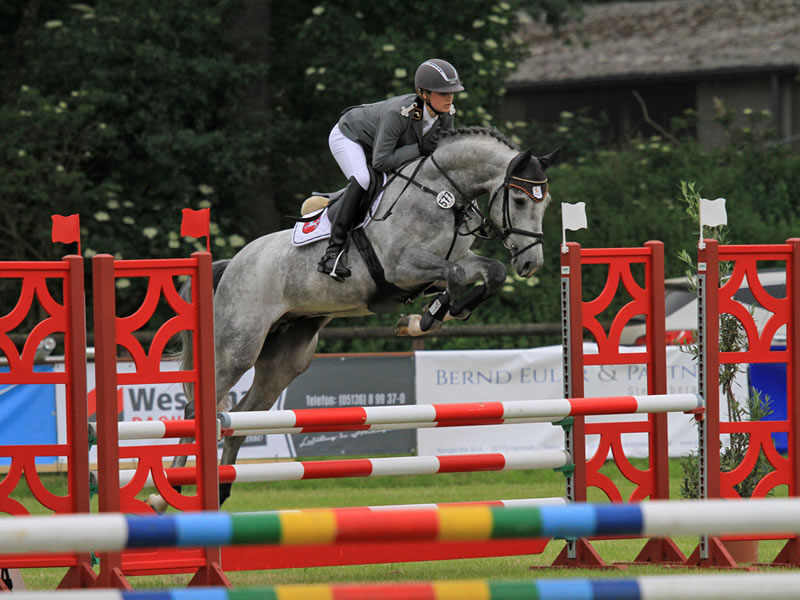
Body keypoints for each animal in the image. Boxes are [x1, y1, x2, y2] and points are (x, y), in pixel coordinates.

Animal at [153, 124, 560, 508]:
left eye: (547, 203)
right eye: (519, 199)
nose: (531, 264)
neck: (440, 192)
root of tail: (232, 264)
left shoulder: (453, 261)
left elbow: (489, 272)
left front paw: (436, 314)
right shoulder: (402, 268)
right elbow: (457, 277)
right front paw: (427, 319)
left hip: (285, 360)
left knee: (241, 414)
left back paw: (221, 490)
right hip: (238, 346)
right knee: (196, 407)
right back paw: (164, 495)